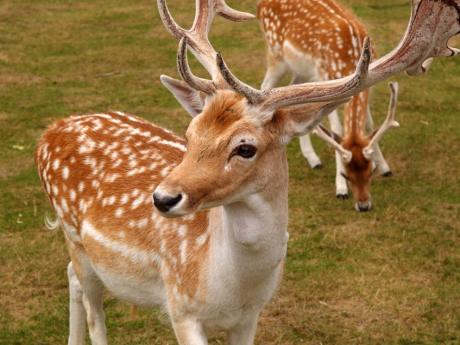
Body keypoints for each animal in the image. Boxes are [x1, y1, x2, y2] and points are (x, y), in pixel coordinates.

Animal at [256, 0, 398, 210]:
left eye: (370, 172)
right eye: (346, 175)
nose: (363, 206)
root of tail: (260, 6)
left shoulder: (367, 84)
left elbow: (369, 124)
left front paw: (385, 166)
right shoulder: (328, 80)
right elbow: (336, 130)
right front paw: (340, 189)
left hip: (303, 71)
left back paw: (312, 158)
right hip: (276, 55)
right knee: (264, 88)